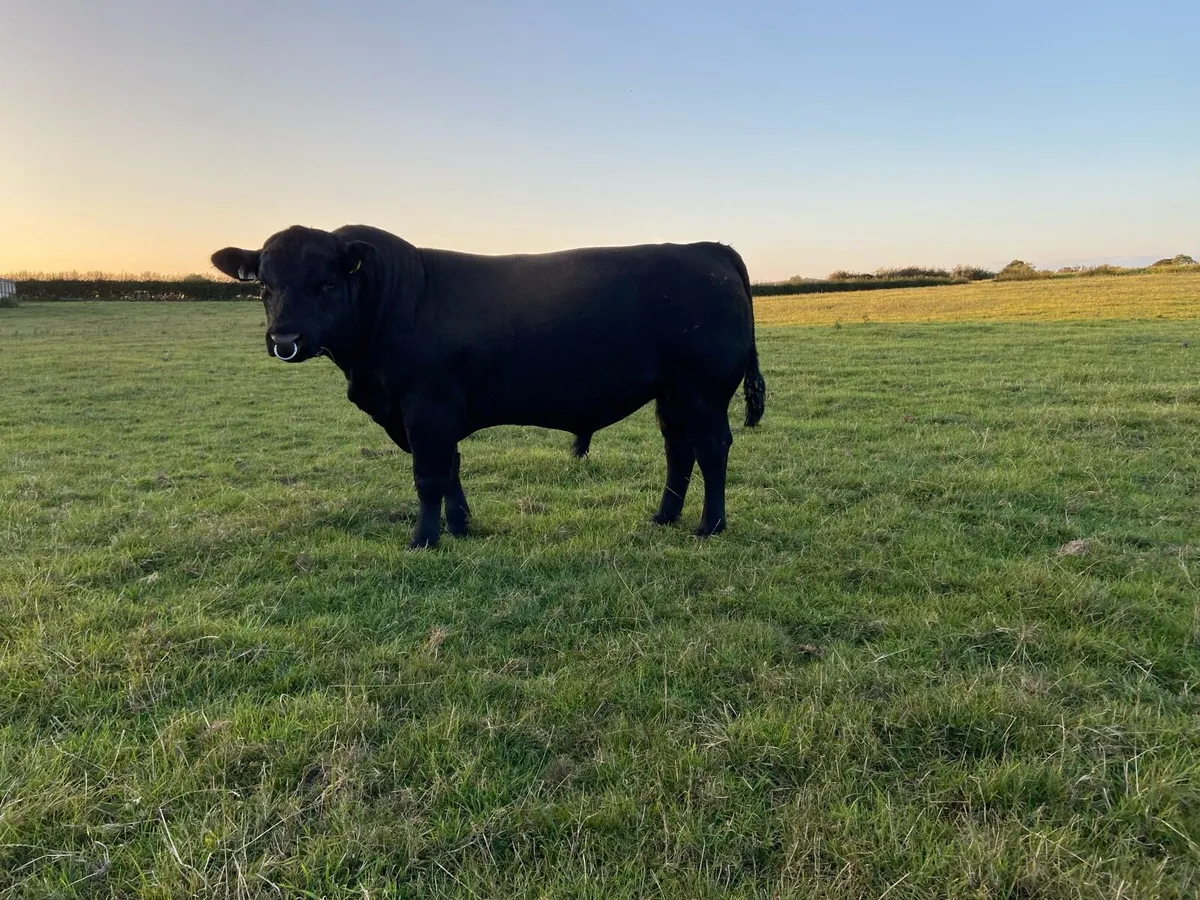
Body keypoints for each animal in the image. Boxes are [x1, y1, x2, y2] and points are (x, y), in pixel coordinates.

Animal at [211, 225, 766, 549]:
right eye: (264, 286)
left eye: (326, 283)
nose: (285, 340)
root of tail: (706, 248)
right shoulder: (432, 415)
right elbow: (450, 468)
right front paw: (460, 526)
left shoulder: (427, 407)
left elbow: (429, 475)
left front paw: (423, 540)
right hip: (671, 393)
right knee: (679, 450)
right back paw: (663, 517)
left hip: (704, 390)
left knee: (712, 449)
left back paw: (710, 525)